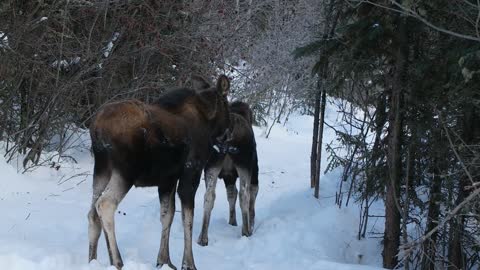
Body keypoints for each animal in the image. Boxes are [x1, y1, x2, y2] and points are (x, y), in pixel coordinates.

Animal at [87, 74, 232, 270]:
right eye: (226, 103)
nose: (228, 133)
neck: (209, 122)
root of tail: (96, 129)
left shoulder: (167, 180)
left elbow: (167, 215)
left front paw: (164, 260)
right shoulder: (191, 172)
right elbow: (187, 219)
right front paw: (189, 263)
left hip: (101, 170)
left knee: (92, 213)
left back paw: (92, 260)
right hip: (125, 172)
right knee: (105, 204)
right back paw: (117, 261)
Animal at [198, 101, 260, 247]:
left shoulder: (228, 176)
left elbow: (231, 195)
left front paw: (232, 221)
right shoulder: (252, 171)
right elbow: (250, 195)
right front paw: (249, 223)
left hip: (212, 163)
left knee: (209, 196)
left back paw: (202, 237)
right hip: (245, 164)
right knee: (245, 194)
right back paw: (246, 231)